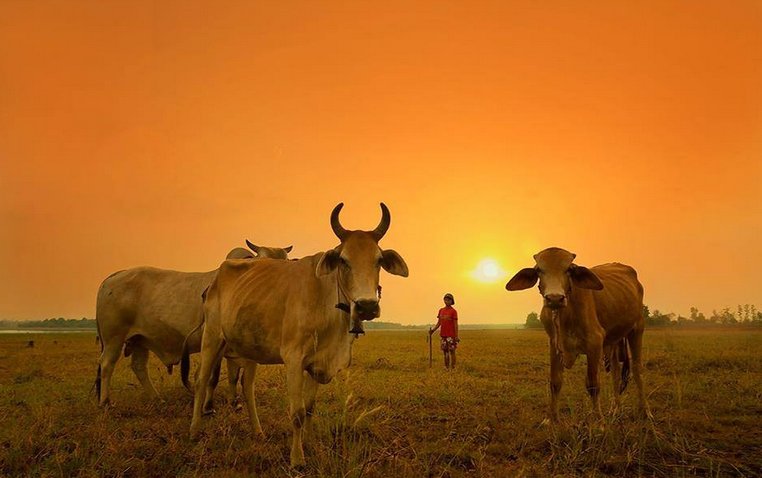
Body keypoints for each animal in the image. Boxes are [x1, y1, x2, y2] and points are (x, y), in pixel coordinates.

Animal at [190, 204, 406, 468]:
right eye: (343, 260)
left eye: (378, 260)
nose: (366, 306)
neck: (328, 304)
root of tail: (218, 274)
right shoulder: (294, 360)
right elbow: (298, 413)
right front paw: (297, 458)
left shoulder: (317, 363)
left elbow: (310, 407)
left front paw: (312, 444)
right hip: (211, 338)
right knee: (201, 381)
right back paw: (195, 430)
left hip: (248, 348)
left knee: (247, 386)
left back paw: (258, 431)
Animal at [504, 248, 648, 420]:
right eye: (539, 270)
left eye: (569, 269)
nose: (555, 298)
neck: (565, 315)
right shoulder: (554, 344)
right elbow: (555, 382)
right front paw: (551, 419)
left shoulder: (595, 342)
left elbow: (593, 384)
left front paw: (598, 420)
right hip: (613, 339)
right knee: (616, 372)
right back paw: (616, 410)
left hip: (637, 328)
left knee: (638, 369)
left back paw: (645, 412)